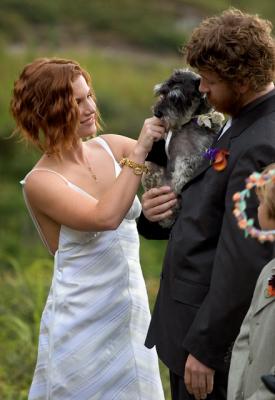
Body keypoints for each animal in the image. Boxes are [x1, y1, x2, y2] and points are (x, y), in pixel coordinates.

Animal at [143, 67, 225, 227]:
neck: (187, 123)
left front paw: (178, 186)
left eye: (176, 99)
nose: (157, 113)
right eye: (162, 92)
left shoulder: (192, 155)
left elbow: (183, 170)